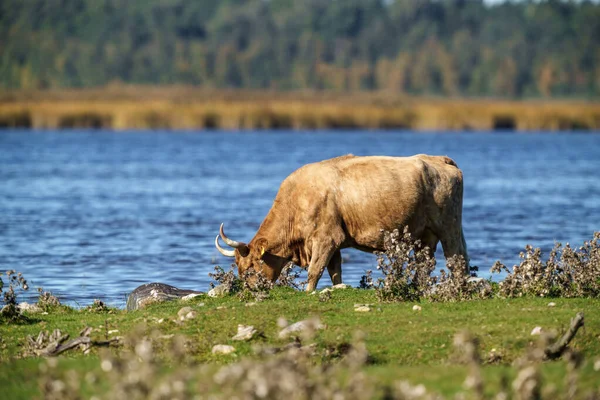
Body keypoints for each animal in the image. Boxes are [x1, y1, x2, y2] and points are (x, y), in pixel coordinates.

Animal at [216, 154, 468, 290]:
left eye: (250, 267)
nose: (250, 290)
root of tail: (439, 159)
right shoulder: (334, 241)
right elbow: (334, 271)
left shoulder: (326, 238)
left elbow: (315, 270)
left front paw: (308, 292)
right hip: (426, 233)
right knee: (428, 262)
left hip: (449, 226)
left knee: (456, 257)